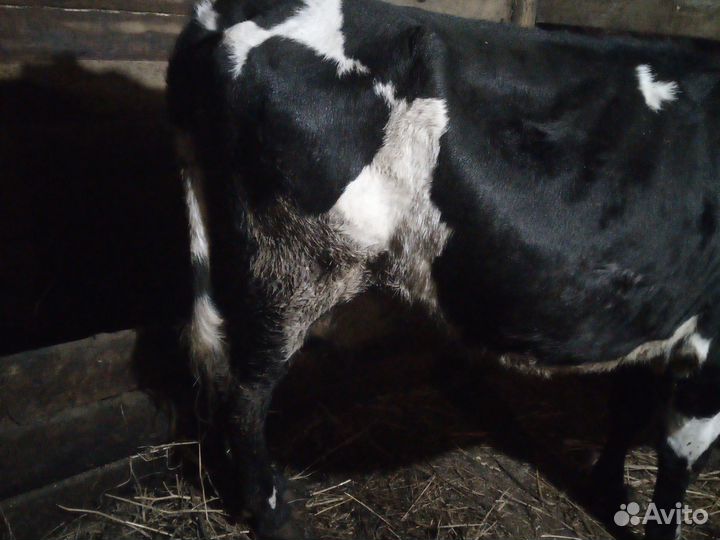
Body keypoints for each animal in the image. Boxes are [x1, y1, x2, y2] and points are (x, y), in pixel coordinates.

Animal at [166, 0, 720, 538]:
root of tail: (228, 13)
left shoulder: (649, 317)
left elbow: (628, 406)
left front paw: (611, 493)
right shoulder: (708, 342)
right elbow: (678, 457)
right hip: (290, 267)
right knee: (245, 392)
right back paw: (273, 513)